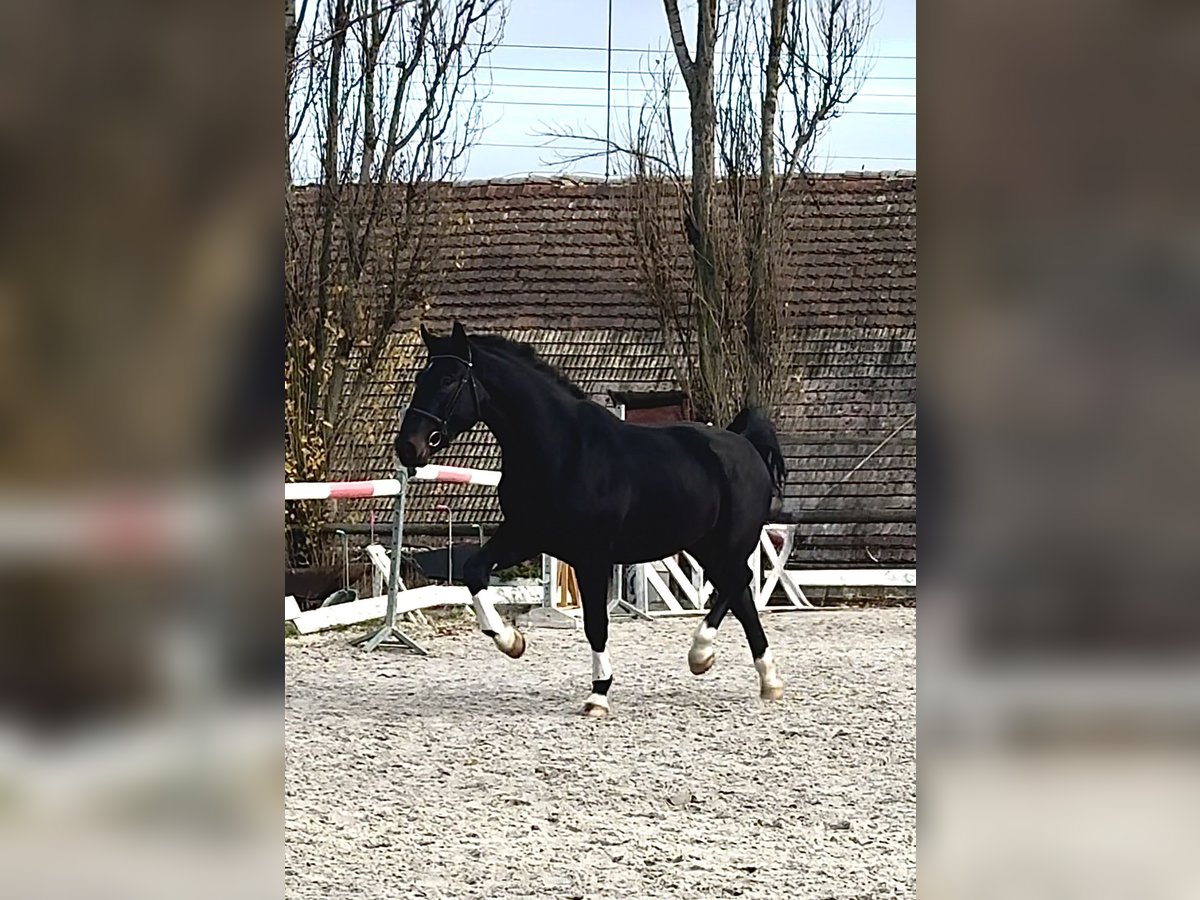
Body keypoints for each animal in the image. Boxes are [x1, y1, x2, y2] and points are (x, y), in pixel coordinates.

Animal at [395, 322, 787, 716]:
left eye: (449, 379)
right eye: (419, 377)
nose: (408, 447)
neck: (561, 449)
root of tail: (744, 443)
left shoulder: (591, 556)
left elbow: (596, 623)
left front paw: (598, 695)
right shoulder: (524, 536)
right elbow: (474, 570)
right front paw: (511, 641)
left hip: (728, 543)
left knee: (738, 584)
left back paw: (715, 659)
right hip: (703, 545)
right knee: (739, 591)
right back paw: (753, 675)